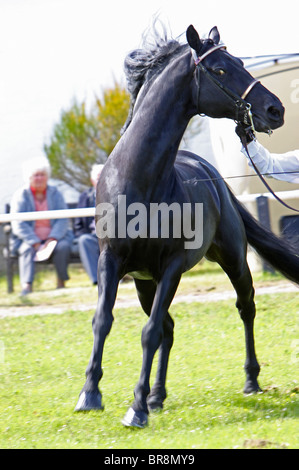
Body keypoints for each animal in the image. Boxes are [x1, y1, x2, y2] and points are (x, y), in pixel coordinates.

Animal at [75, 26, 298, 430]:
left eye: (240, 62)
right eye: (222, 69)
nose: (275, 109)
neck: (141, 184)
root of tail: (211, 173)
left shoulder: (173, 267)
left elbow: (147, 333)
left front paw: (136, 410)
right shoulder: (110, 261)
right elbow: (104, 321)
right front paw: (91, 395)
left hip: (232, 260)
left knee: (245, 307)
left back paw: (250, 381)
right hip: (145, 283)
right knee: (169, 328)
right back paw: (157, 395)